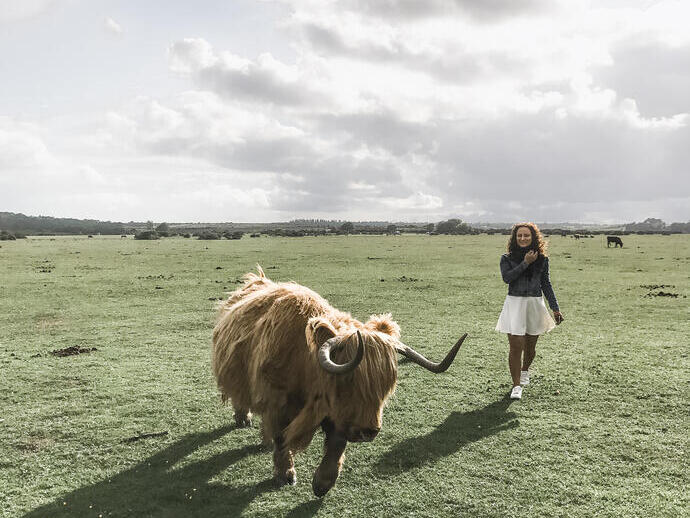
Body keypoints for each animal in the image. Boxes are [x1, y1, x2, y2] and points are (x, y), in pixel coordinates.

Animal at [212, 266, 466, 497]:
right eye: (348, 380)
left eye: (386, 386)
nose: (369, 431)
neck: (304, 363)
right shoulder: (278, 403)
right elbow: (282, 438)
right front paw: (286, 475)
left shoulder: (338, 415)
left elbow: (336, 445)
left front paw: (322, 484)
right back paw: (243, 418)